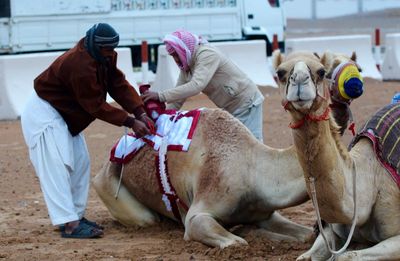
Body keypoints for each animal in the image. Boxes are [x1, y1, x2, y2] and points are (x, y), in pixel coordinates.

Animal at [274, 49, 400, 258]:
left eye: (321, 71)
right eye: (280, 73)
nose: (299, 79)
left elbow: (345, 256)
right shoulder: (332, 231)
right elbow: (307, 257)